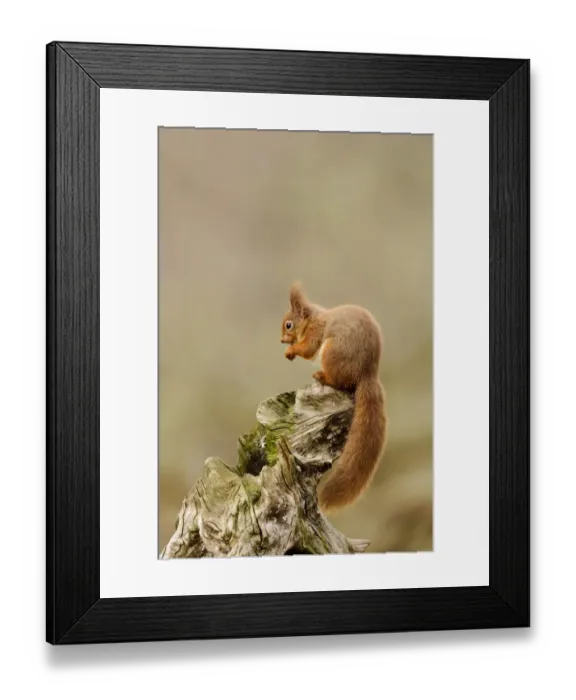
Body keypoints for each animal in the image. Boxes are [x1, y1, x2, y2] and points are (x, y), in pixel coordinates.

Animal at [280, 281, 387, 513]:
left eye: (289, 325)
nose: (281, 340)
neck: (313, 318)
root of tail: (367, 374)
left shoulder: (315, 333)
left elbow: (308, 348)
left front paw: (291, 350)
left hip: (331, 351)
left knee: (339, 382)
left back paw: (322, 376)